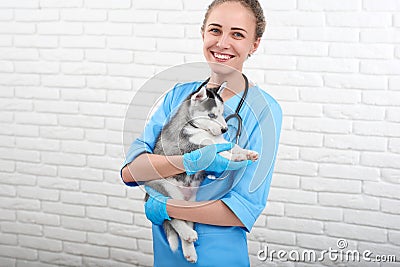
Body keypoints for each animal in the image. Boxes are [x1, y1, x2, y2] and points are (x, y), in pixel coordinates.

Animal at [145, 83, 258, 264]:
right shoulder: (190, 146)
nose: (225, 129)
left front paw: (246, 153)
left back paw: (189, 250)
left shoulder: (221, 141)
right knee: (172, 216)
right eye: (211, 115)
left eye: (222, 114)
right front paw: (234, 157)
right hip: (168, 189)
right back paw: (187, 233)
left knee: (183, 217)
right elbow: (214, 150)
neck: (198, 128)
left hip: (191, 202)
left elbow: (232, 146)